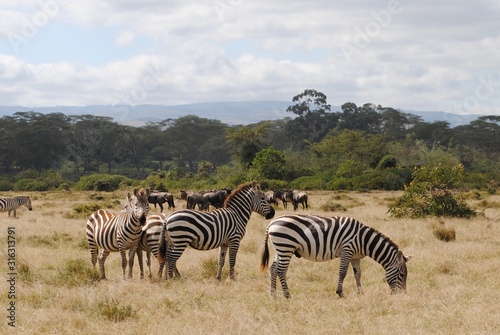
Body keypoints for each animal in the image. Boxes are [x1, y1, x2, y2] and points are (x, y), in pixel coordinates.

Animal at [260, 215, 412, 300]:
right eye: (402, 274)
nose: (403, 295)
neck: (364, 240)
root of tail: (271, 223)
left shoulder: (355, 257)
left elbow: (358, 274)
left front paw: (360, 293)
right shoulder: (347, 250)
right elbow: (343, 272)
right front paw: (340, 293)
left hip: (280, 248)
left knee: (273, 269)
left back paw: (273, 295)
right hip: (286, 247)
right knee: (281, 271)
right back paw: (287, 295)